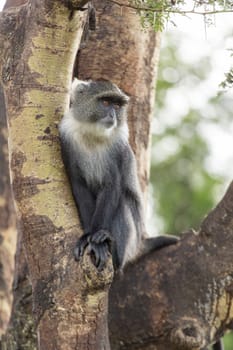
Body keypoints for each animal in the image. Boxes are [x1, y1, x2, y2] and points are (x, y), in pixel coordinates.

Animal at [59, 79, 177, 270]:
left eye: (117, 105)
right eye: (106, 102)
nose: (113, 116)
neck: (92, 135)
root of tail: (139, 244)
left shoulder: (118, 150)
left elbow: (112, 186)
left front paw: (96, 240)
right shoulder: (66, 142)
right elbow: (79, 186)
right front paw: (87, 236)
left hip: (131, 240)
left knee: (122, 201)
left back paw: (111, 246)